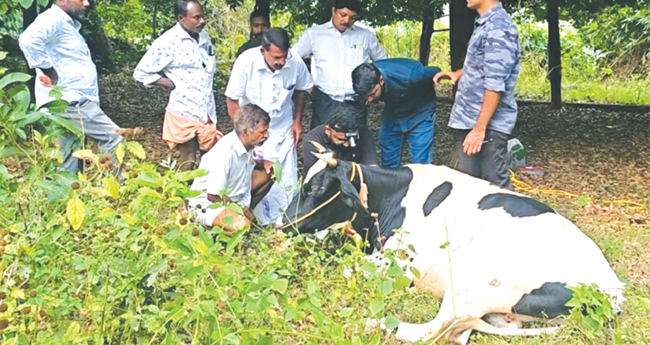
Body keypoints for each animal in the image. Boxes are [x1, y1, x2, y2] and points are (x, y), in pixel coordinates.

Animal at [282, 157, 624, 344]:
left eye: (315, 189)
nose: (281, 223)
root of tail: (612, 294)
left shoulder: (398, 263)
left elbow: (346, 268)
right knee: (459, 333)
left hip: (472, 280)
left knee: (436, 330)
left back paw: (367, 324)